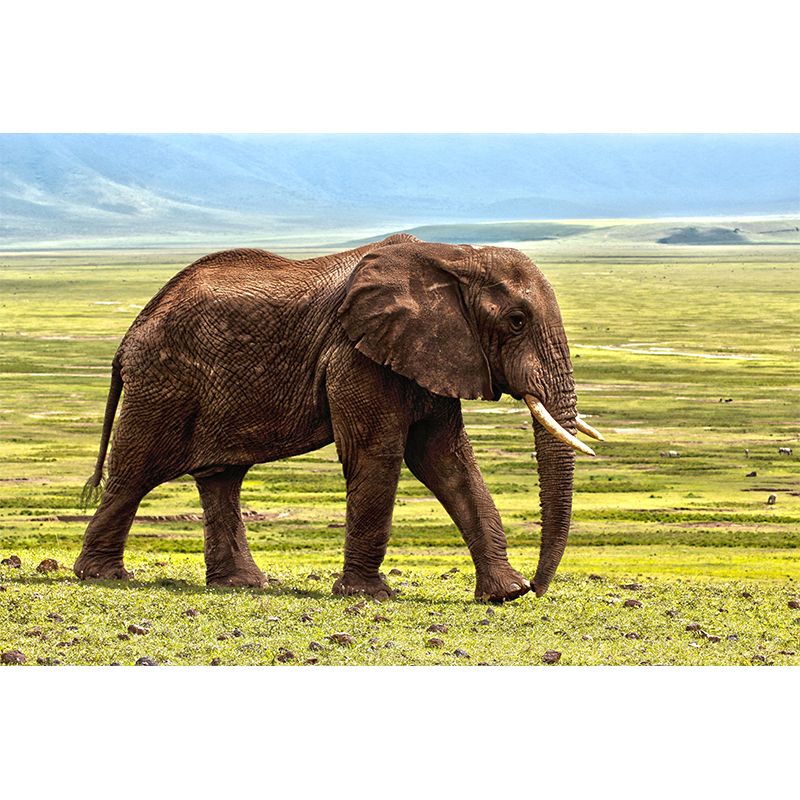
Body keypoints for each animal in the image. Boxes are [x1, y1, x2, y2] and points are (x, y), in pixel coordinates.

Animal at [74, 234, 603, 602]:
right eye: (516, 321)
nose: (538, 588)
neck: (452, 256)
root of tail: (130, 333)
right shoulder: (356, 355)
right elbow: (378, 455)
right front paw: (370, 596)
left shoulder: (431, 354)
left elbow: (446, 460)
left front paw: (504, 595)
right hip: (163, 381)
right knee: (136, 471)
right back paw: (102, 576)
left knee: (221, 477)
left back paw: (242, 585)